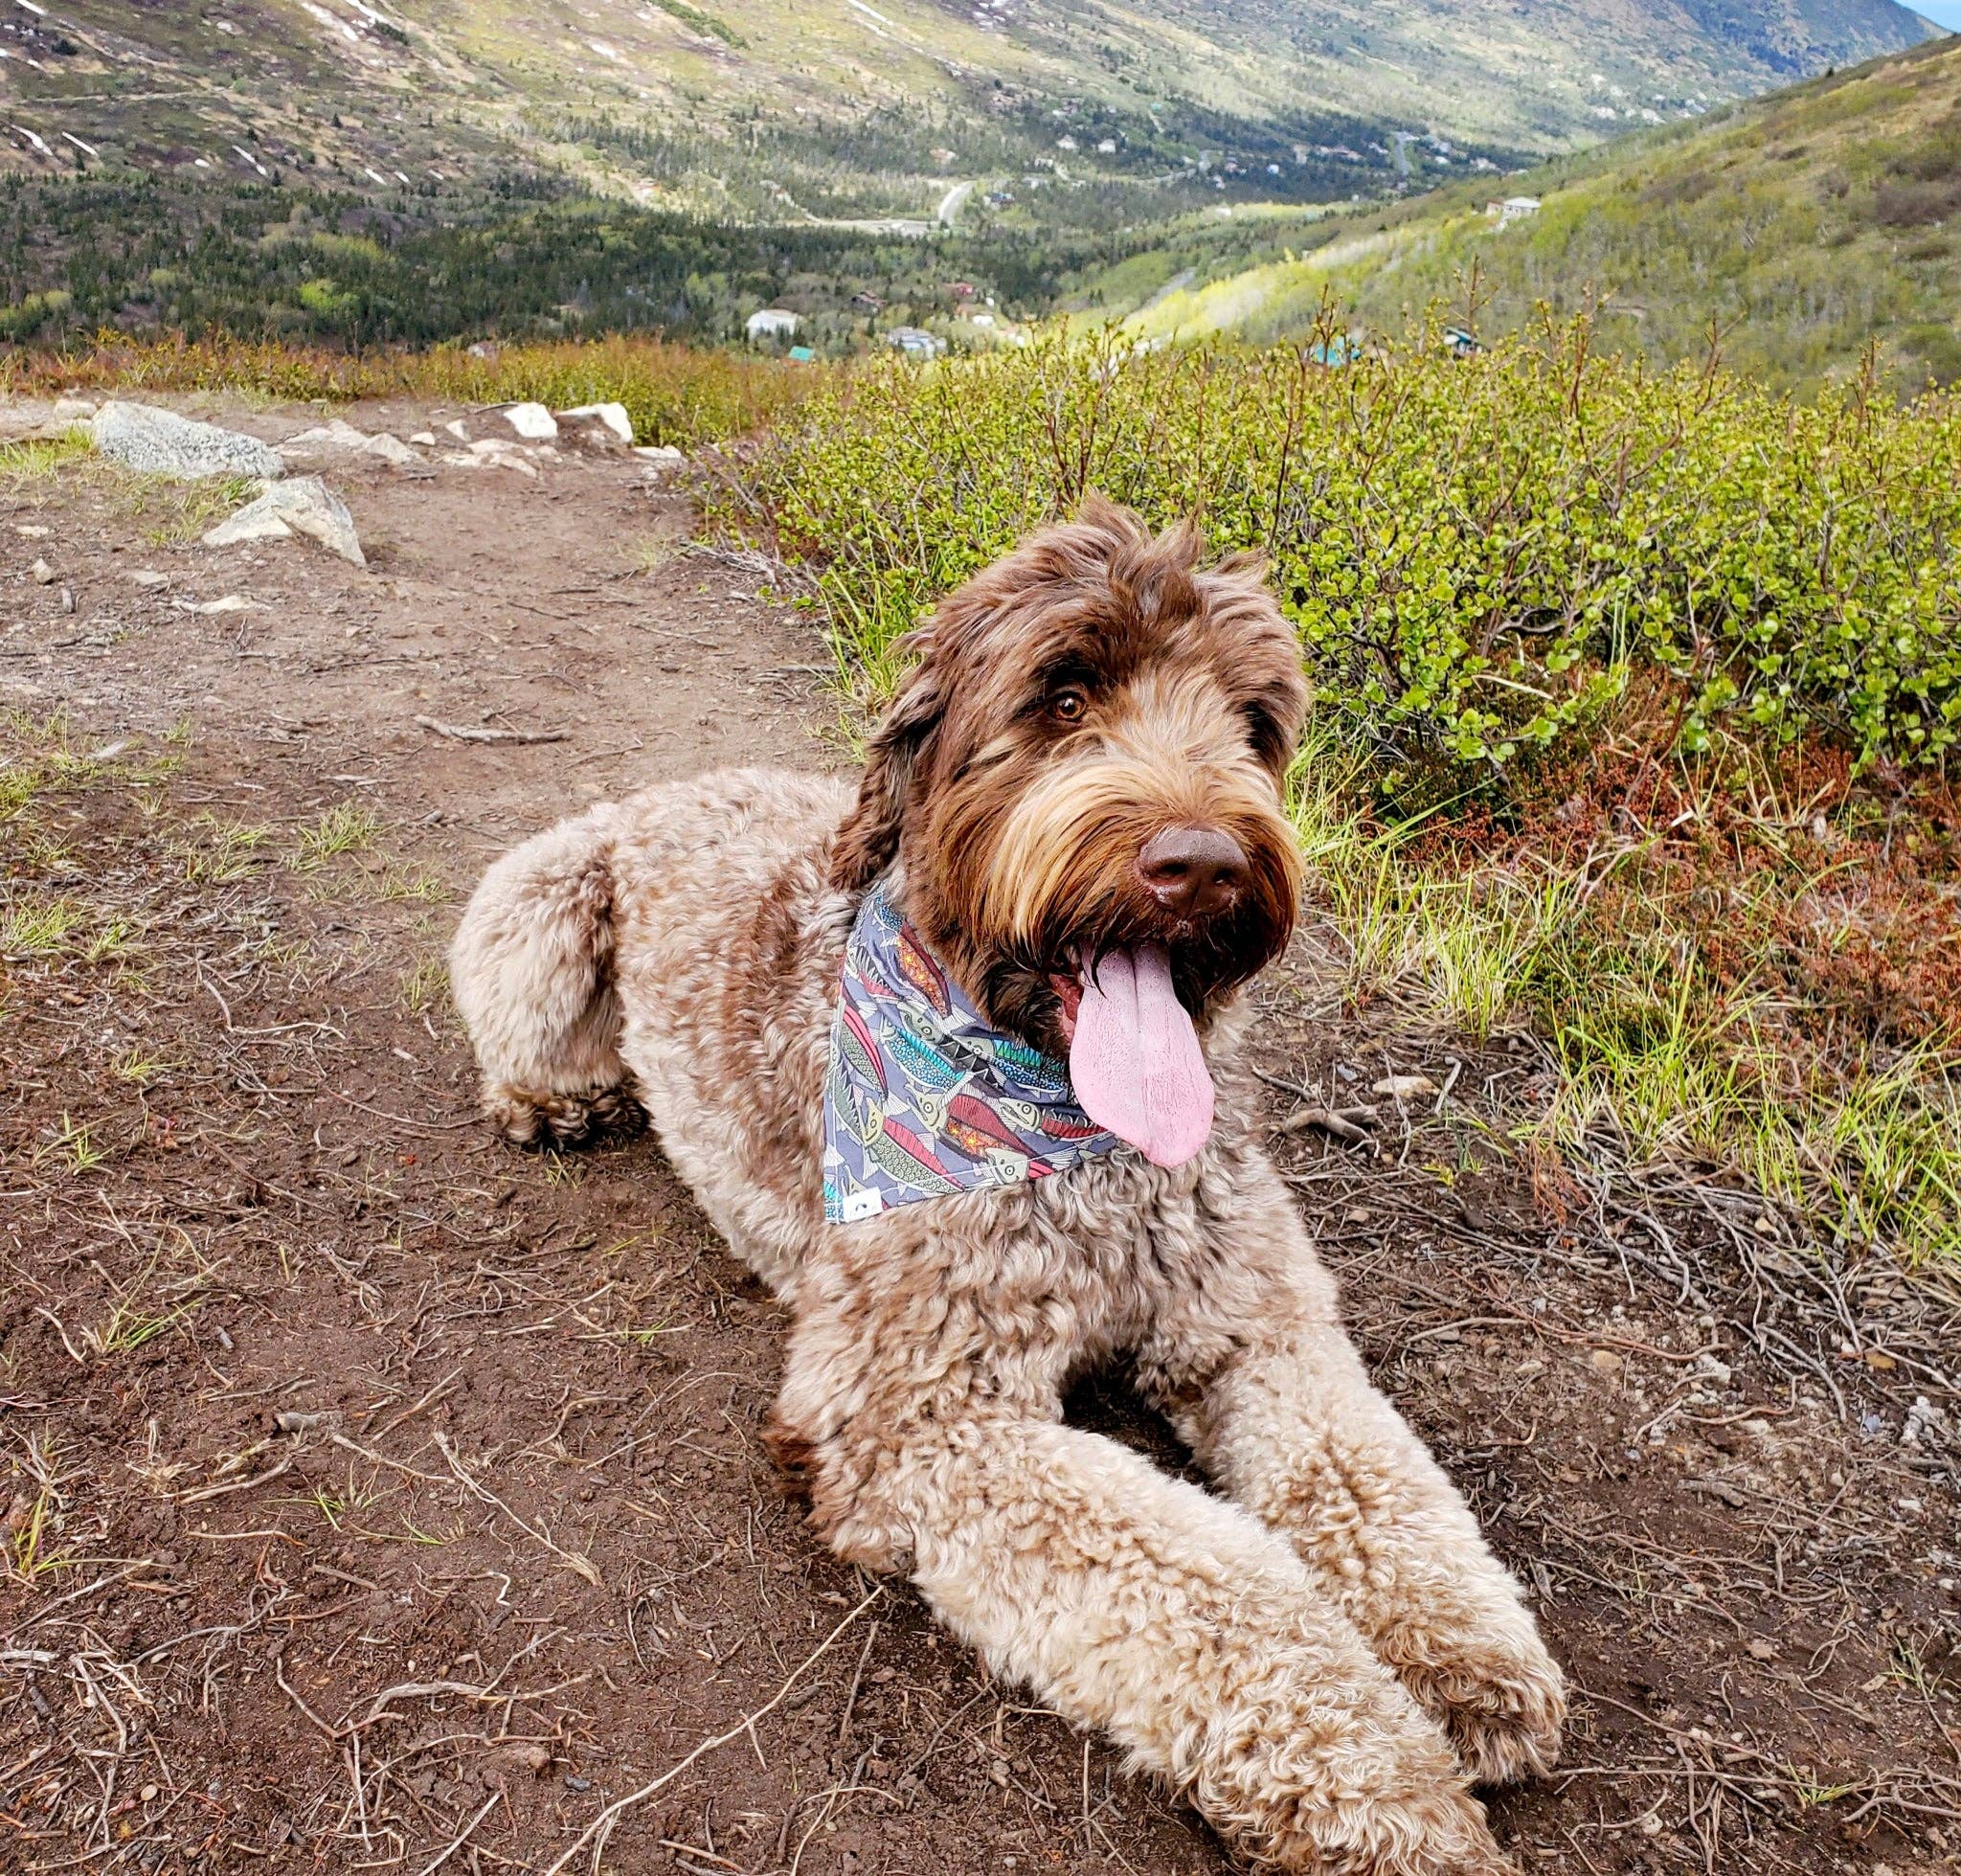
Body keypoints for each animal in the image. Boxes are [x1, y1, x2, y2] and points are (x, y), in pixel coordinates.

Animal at [455, 497, 1561, 1873]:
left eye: (1252, 722)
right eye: (1063, 695)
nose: (1204, 863)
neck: (1078, 1142)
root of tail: (670, 789)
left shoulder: (1255, 1320)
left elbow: (1370, 1477)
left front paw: (1465, 1661)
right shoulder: (916, 1419)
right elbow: (1229, 1598)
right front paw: (1390, 1798)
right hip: (543, 899)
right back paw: (557, 1098)